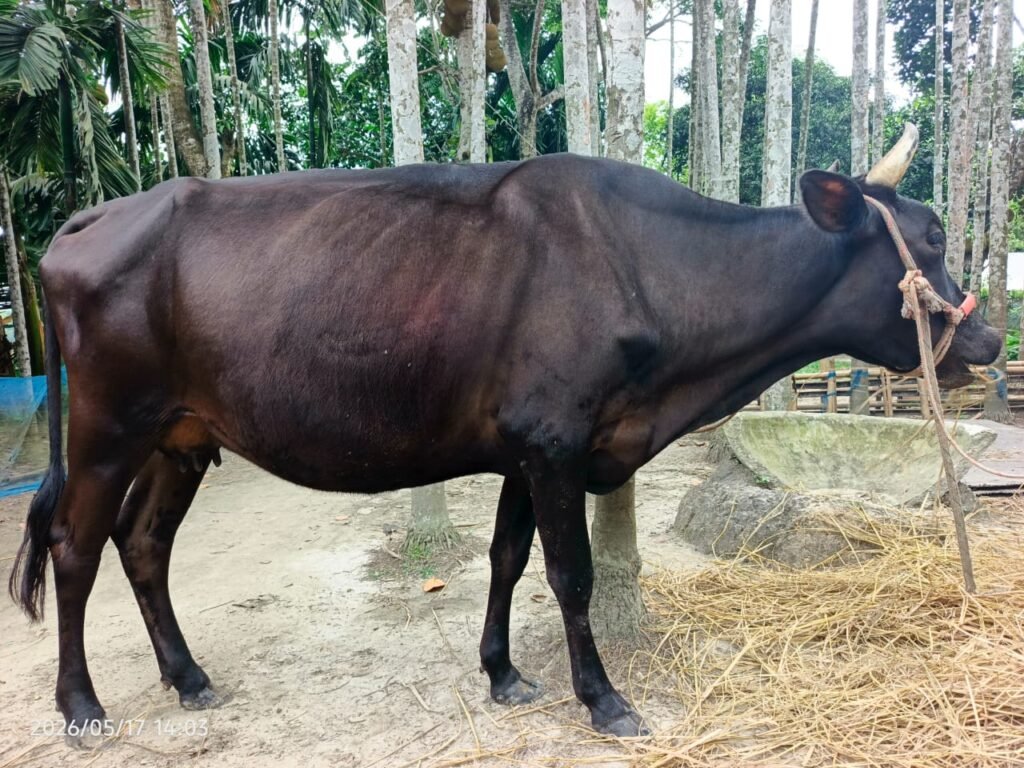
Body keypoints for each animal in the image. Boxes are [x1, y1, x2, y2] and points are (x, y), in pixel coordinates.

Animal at [9, 124, 1001, 744]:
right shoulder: (556, 440)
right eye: (930, 237)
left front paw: (503, 673)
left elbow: (507, 557)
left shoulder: (533, 445)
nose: (989, 339)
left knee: (143, 543)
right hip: (105, 425)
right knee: (75, 547)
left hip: (178, 434)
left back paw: (188, 676)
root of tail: (94, 216)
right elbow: (570, 574)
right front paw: (604, 700)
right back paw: (81, 705)